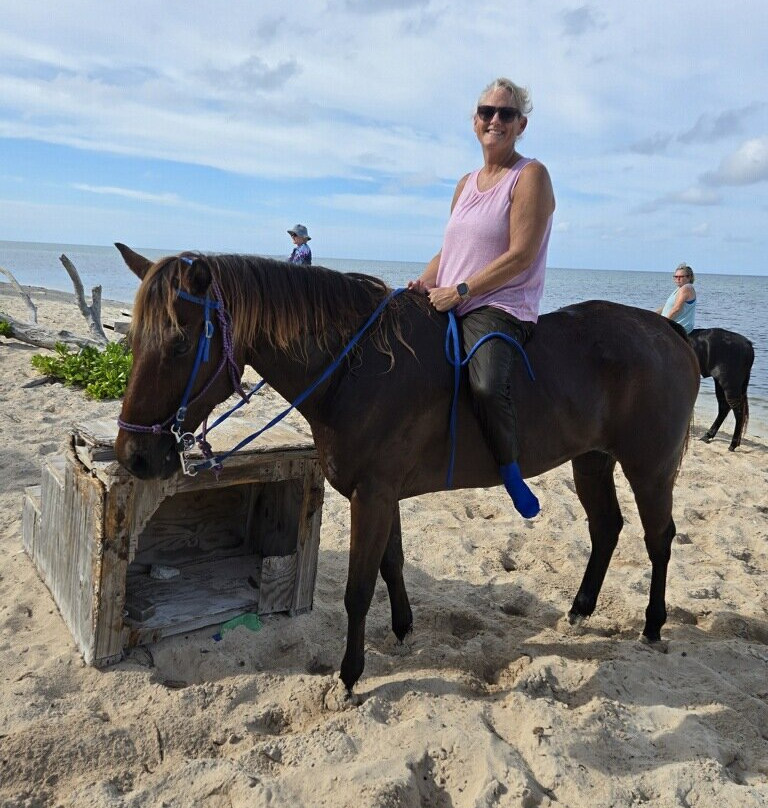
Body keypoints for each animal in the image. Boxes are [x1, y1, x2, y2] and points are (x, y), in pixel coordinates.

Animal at [114, 245, 700, 693]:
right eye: (133, 337)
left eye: (180, 343)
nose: (133, 456)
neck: (356, 370)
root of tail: (670, 333)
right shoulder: (382, 493)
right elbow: (391, 565)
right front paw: (402, 629)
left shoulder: (372, 495)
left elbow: (358, 588)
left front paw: (351, 675)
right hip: (592, 460)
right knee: (606, 528)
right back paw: (581, 608)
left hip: (649, 468)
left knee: (658, 539)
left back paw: (652, 624)